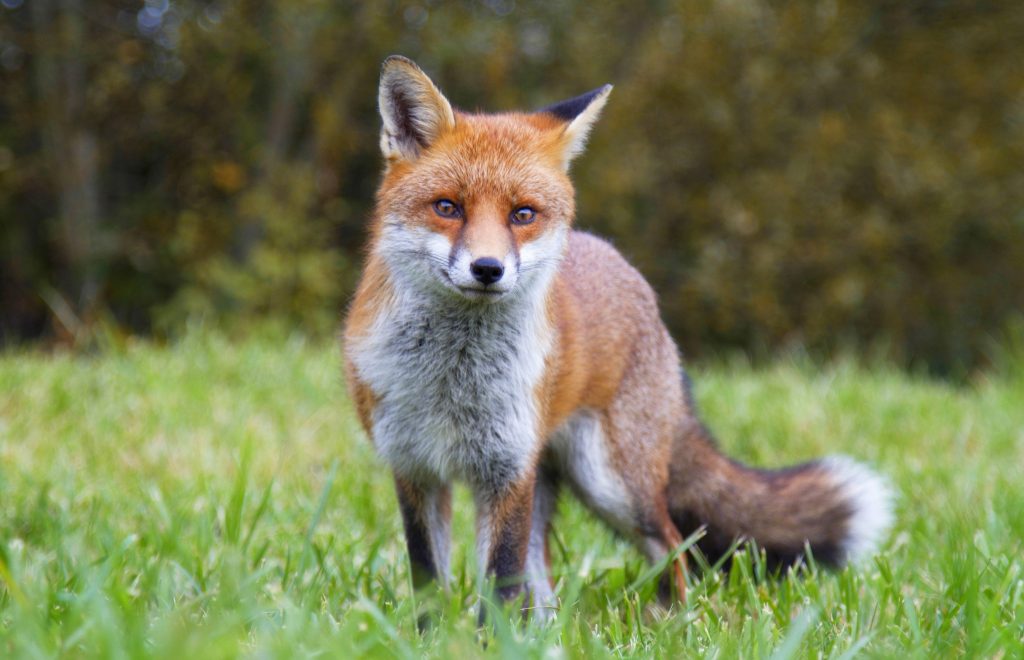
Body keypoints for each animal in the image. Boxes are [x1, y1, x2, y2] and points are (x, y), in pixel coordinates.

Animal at [342, 55, 894, 617]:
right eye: (448, 207)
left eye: (523, 214)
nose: (488, 268)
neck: (452, 379)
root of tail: (625, 266)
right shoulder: (416, 468)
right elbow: (429, 580)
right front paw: (432, 633)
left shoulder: (507, 469)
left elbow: (500, 584)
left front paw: (486, 635)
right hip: (558, 478)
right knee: (545, 571)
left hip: (612, 483)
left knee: (674, 545)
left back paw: (673, 621)